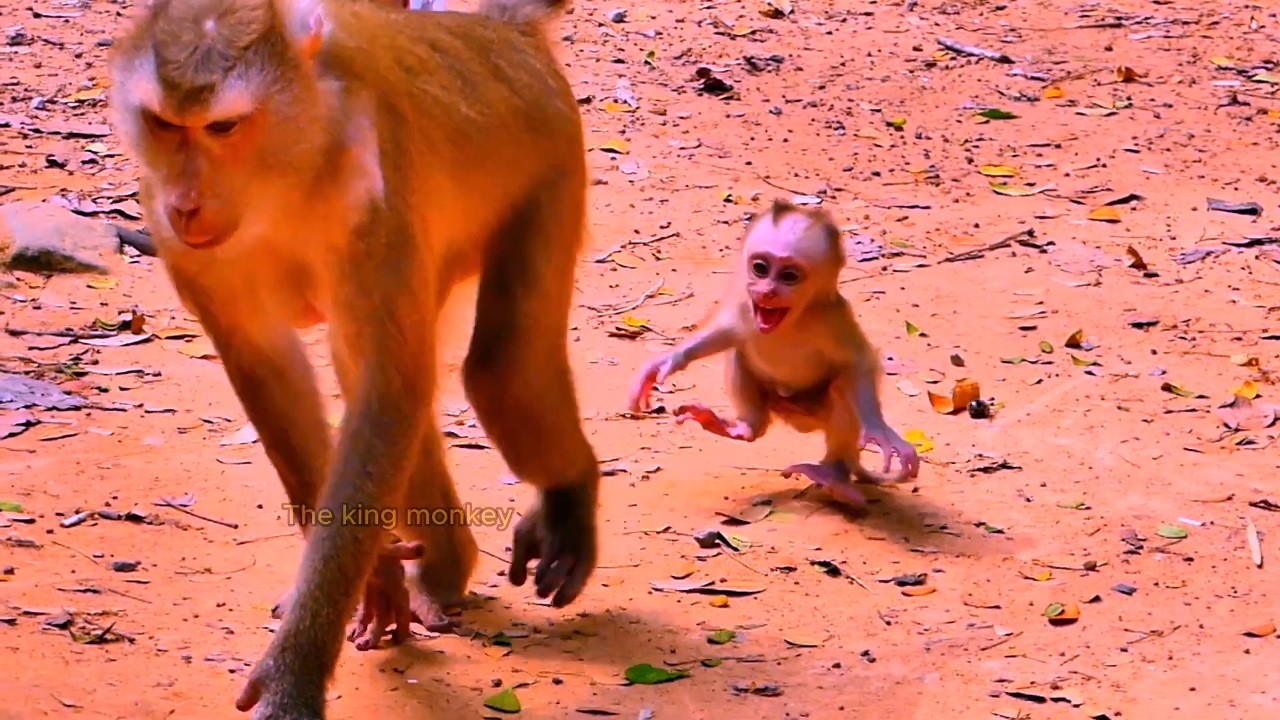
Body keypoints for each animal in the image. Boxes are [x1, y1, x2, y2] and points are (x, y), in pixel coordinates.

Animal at [107, 0, 601, 717]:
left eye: (223, 126)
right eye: (165, 124)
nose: (188, 201)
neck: (286, 168)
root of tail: (498, 33)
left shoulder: (375, 191)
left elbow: (385, 391)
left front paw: (298, 667)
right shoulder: (171, 225)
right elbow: (270, 366)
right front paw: (378, 580)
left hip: (553, 161)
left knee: (498, 369)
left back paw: (569, 499)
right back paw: (444, 569)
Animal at [628, 200, 920, 507]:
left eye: (789, 276)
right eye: (760, 268)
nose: (767, 291)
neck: (788, 321)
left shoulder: (832, 317)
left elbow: (857, 363)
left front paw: (878, 429)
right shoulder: (746, 303)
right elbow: (727, 331)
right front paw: (667, 361)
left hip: (813, 411)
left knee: (842, 388)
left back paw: (833, 474)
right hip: (776, 403)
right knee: (740, 354)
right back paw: (744, 428)